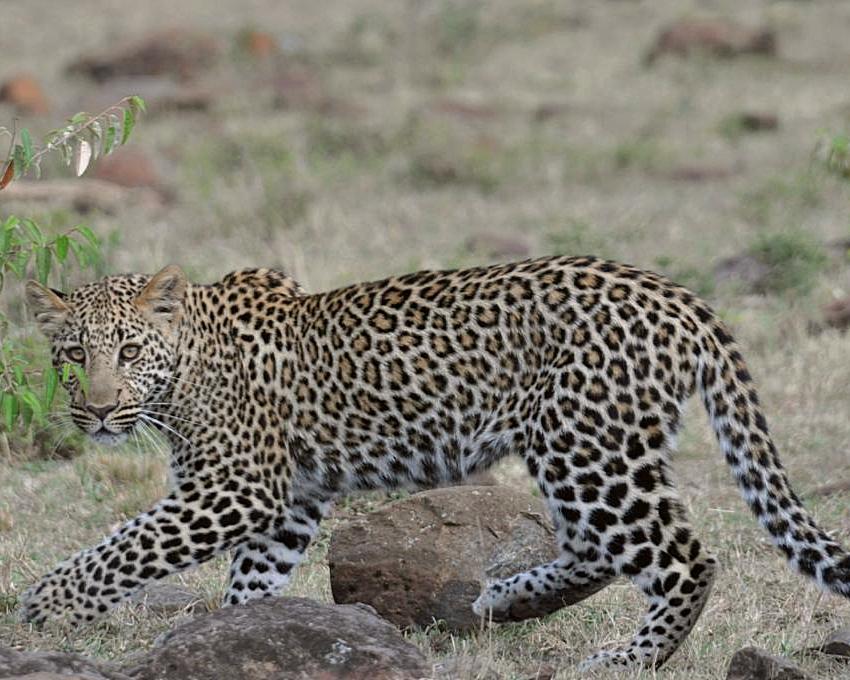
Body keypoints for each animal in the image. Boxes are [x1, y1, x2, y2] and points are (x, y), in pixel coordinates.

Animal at [20, 255, 850, 671]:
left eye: (129, 352)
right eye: (73, 356)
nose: (98, 412)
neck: (187, 362)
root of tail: (679, 297)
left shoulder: (238, 488)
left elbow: (122, 549)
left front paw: (41, 608)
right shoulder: (288, 503)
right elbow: (248, 584)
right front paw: (235, 638)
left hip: (586, 445)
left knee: (682, 558)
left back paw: (629, 657)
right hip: (581, 449)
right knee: (597, 547)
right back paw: (508, 599)